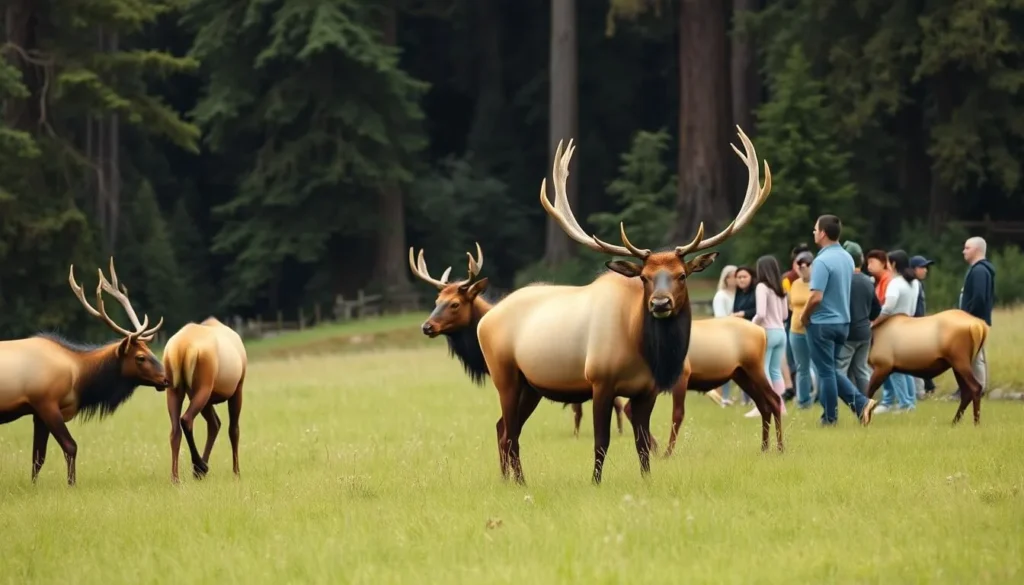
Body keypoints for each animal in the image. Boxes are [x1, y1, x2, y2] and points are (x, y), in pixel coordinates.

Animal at [0, 258, 167, 486]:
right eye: (140, 357)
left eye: (150, 351)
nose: (166, 379)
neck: (79, 379)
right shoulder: (46, 403)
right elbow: (70, 446)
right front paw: (72, 484)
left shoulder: (37, 412)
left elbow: (38, 457)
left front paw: (33, 486)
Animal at [161, 316, 248, 483]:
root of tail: (182, 349)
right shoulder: (238, 388)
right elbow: (233, 430)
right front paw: (236, 473)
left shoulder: (203, 398)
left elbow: (214, 424)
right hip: (205, 386)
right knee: (187, 419)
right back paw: (199, 465)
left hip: (175, 389)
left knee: (175, 430)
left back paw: (176, 478)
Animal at [475, 125, 778, 485]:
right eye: (645, 277)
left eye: (681, 275)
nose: (660, 303)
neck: (643, 349)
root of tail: (485, 319)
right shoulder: (600, 381)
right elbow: (602, 440)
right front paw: (595, 482)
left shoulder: (646, 390)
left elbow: (643, 443)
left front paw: (647, 480)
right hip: (504, 374)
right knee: (510, 431)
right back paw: (519, 481)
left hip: (531, 385)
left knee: (504, 427)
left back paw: (511, 479)